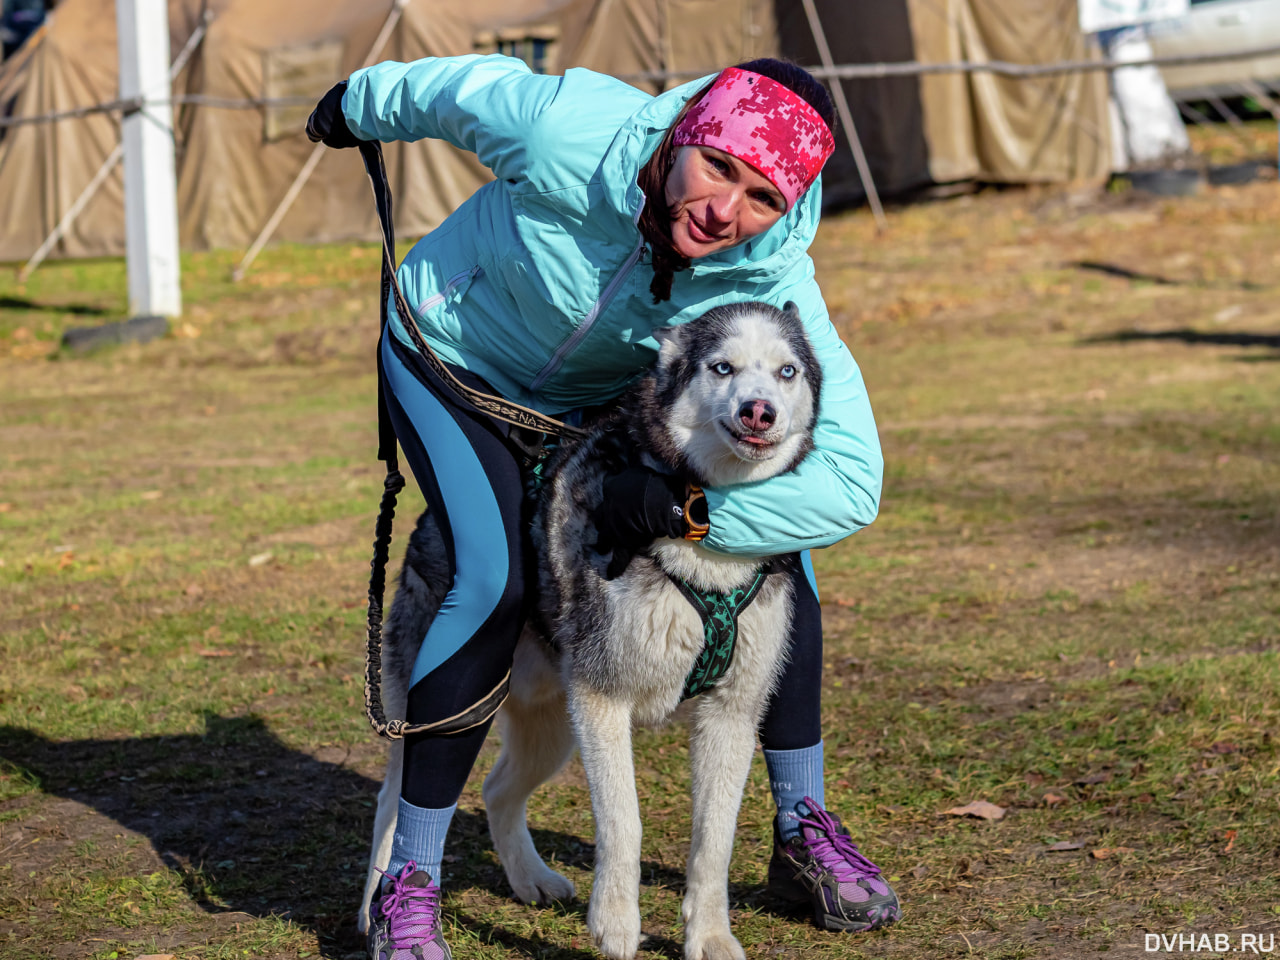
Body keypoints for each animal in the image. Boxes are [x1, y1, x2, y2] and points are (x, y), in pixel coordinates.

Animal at [363, 304, 819, 960]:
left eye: (786, 371)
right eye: (722, 367)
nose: (760, 410)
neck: (703, 532)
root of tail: (429, 522)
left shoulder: (731, 715)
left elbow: (714, 840)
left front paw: (709, 935)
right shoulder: (603, 701)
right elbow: (624, 820)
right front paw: (616, 924)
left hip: (553, 730)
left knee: (497, 790)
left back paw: (531, 878)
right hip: (445, 709)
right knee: (395, 802)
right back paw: (376, 914)